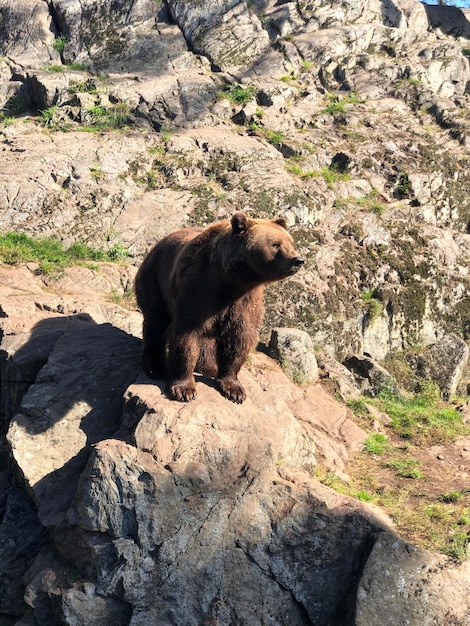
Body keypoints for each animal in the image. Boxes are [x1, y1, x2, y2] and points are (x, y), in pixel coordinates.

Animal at [135, 212, 304, 402]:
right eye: (276, 244)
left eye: (291, 243)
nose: (298, 260)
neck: (233, 281)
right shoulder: (199, 289)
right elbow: (186, 335)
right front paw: (184, 389)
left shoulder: (244, 303)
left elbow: (239, 339)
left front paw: (234, 389)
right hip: (155, 280)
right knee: (155, 322)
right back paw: (154, 366)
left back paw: (208, 367)